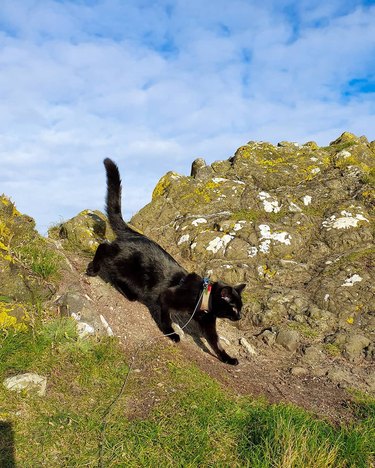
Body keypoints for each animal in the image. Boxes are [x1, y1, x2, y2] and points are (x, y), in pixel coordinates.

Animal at [88, 159, 247, 364]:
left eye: (240, 307)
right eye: (234, 307)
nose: (240, 316)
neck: (202, 298)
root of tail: (133, 233)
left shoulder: (208, 324)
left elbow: (216, 343)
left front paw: (228, 358)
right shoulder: (165, 296)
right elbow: (166, 317)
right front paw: (171, 334)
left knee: (116, 274)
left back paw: (129, 293)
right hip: (122, 260)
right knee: (104, 248)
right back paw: (93, 269)